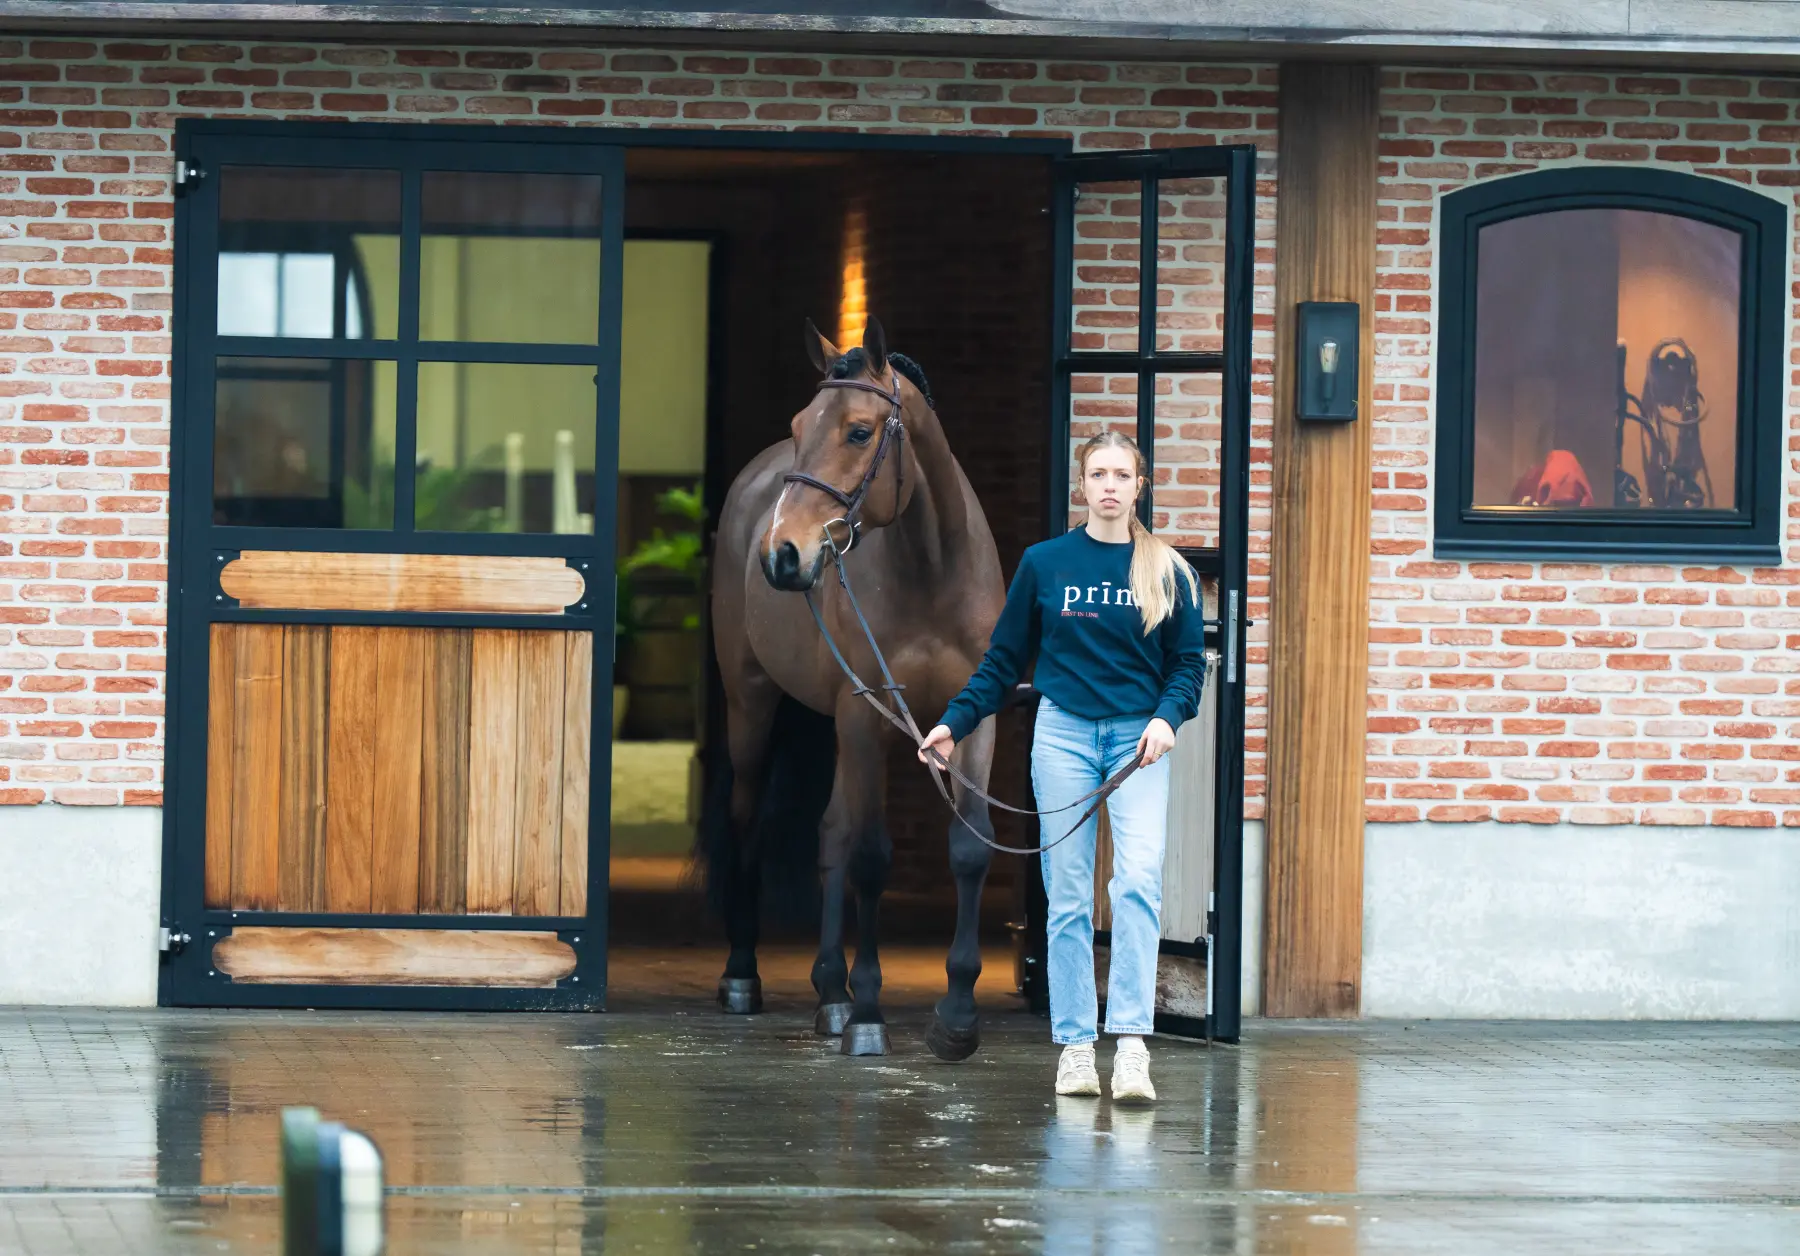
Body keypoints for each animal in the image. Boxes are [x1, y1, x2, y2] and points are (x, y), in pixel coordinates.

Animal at [704, 315, 1006, 1060]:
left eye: (860, 431)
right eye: (800, 422)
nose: (783, 554)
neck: (932, 571)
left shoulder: (972, 719)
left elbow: (969, 847)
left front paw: (957, 1017)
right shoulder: (868, 715)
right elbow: (871, 855)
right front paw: (870, 1012)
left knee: (830, 832)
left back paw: (829, 993)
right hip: (754, 706)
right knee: (750, 820)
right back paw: (746, 976)